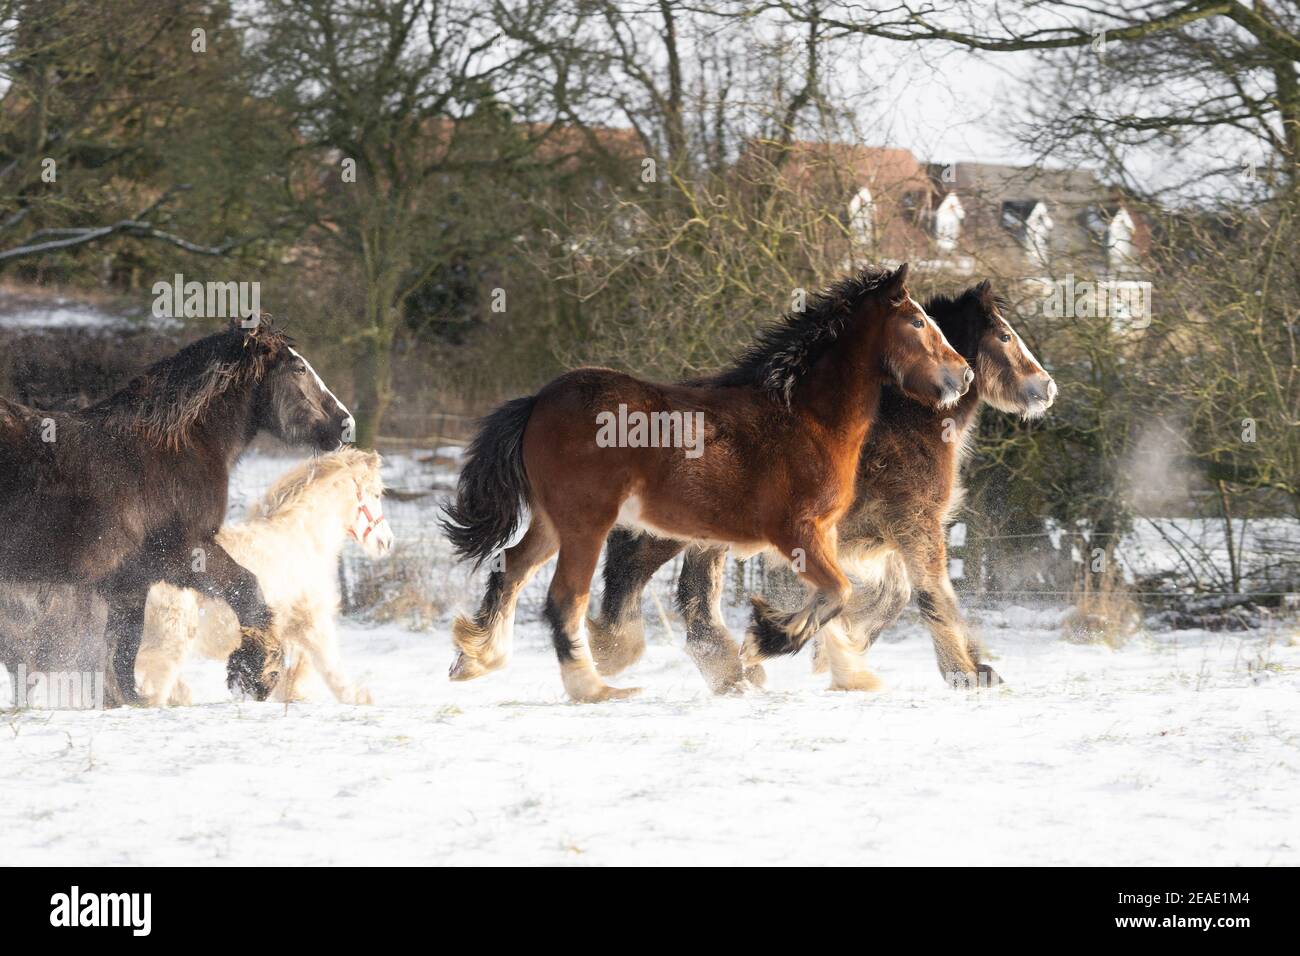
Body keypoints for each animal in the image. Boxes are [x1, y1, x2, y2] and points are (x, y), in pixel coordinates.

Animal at [0, 319, 353, 702]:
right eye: (298, 368)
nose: (345, 424)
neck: (175, 449)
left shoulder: (128, 583)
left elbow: (122, 653)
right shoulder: (185, 554)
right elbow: (249, 590)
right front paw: (256, 674)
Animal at [135, 447, 395, 702]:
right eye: (376, 494)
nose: (387, 542)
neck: (303, 537)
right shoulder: (313, 621)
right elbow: (331, 668)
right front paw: (360, 697)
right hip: (169, 642)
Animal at [441, 261, 972, 702]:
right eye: (918, 322)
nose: (963, 375)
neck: (805, 417)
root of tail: (537, 402)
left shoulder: (819, 535)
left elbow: (834, 603)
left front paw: (829, 666)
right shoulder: (797, 532)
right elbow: (837, 594)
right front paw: (762, 643)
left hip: (553, 522)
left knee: (512, 567)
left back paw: (476, 659)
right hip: (585, 525)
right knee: (565, 599)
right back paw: (594, 688)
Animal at [590, 280, 1055, 691]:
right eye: (1005, 336)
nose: (1047, 387)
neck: (905, 421)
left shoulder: (881, 535)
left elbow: (894, 596)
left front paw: (836, 649)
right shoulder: (914, 524)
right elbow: (931, 595)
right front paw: (964, 673)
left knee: (694, 598)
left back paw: (735, 672)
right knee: (633, 567)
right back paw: (614, 650)